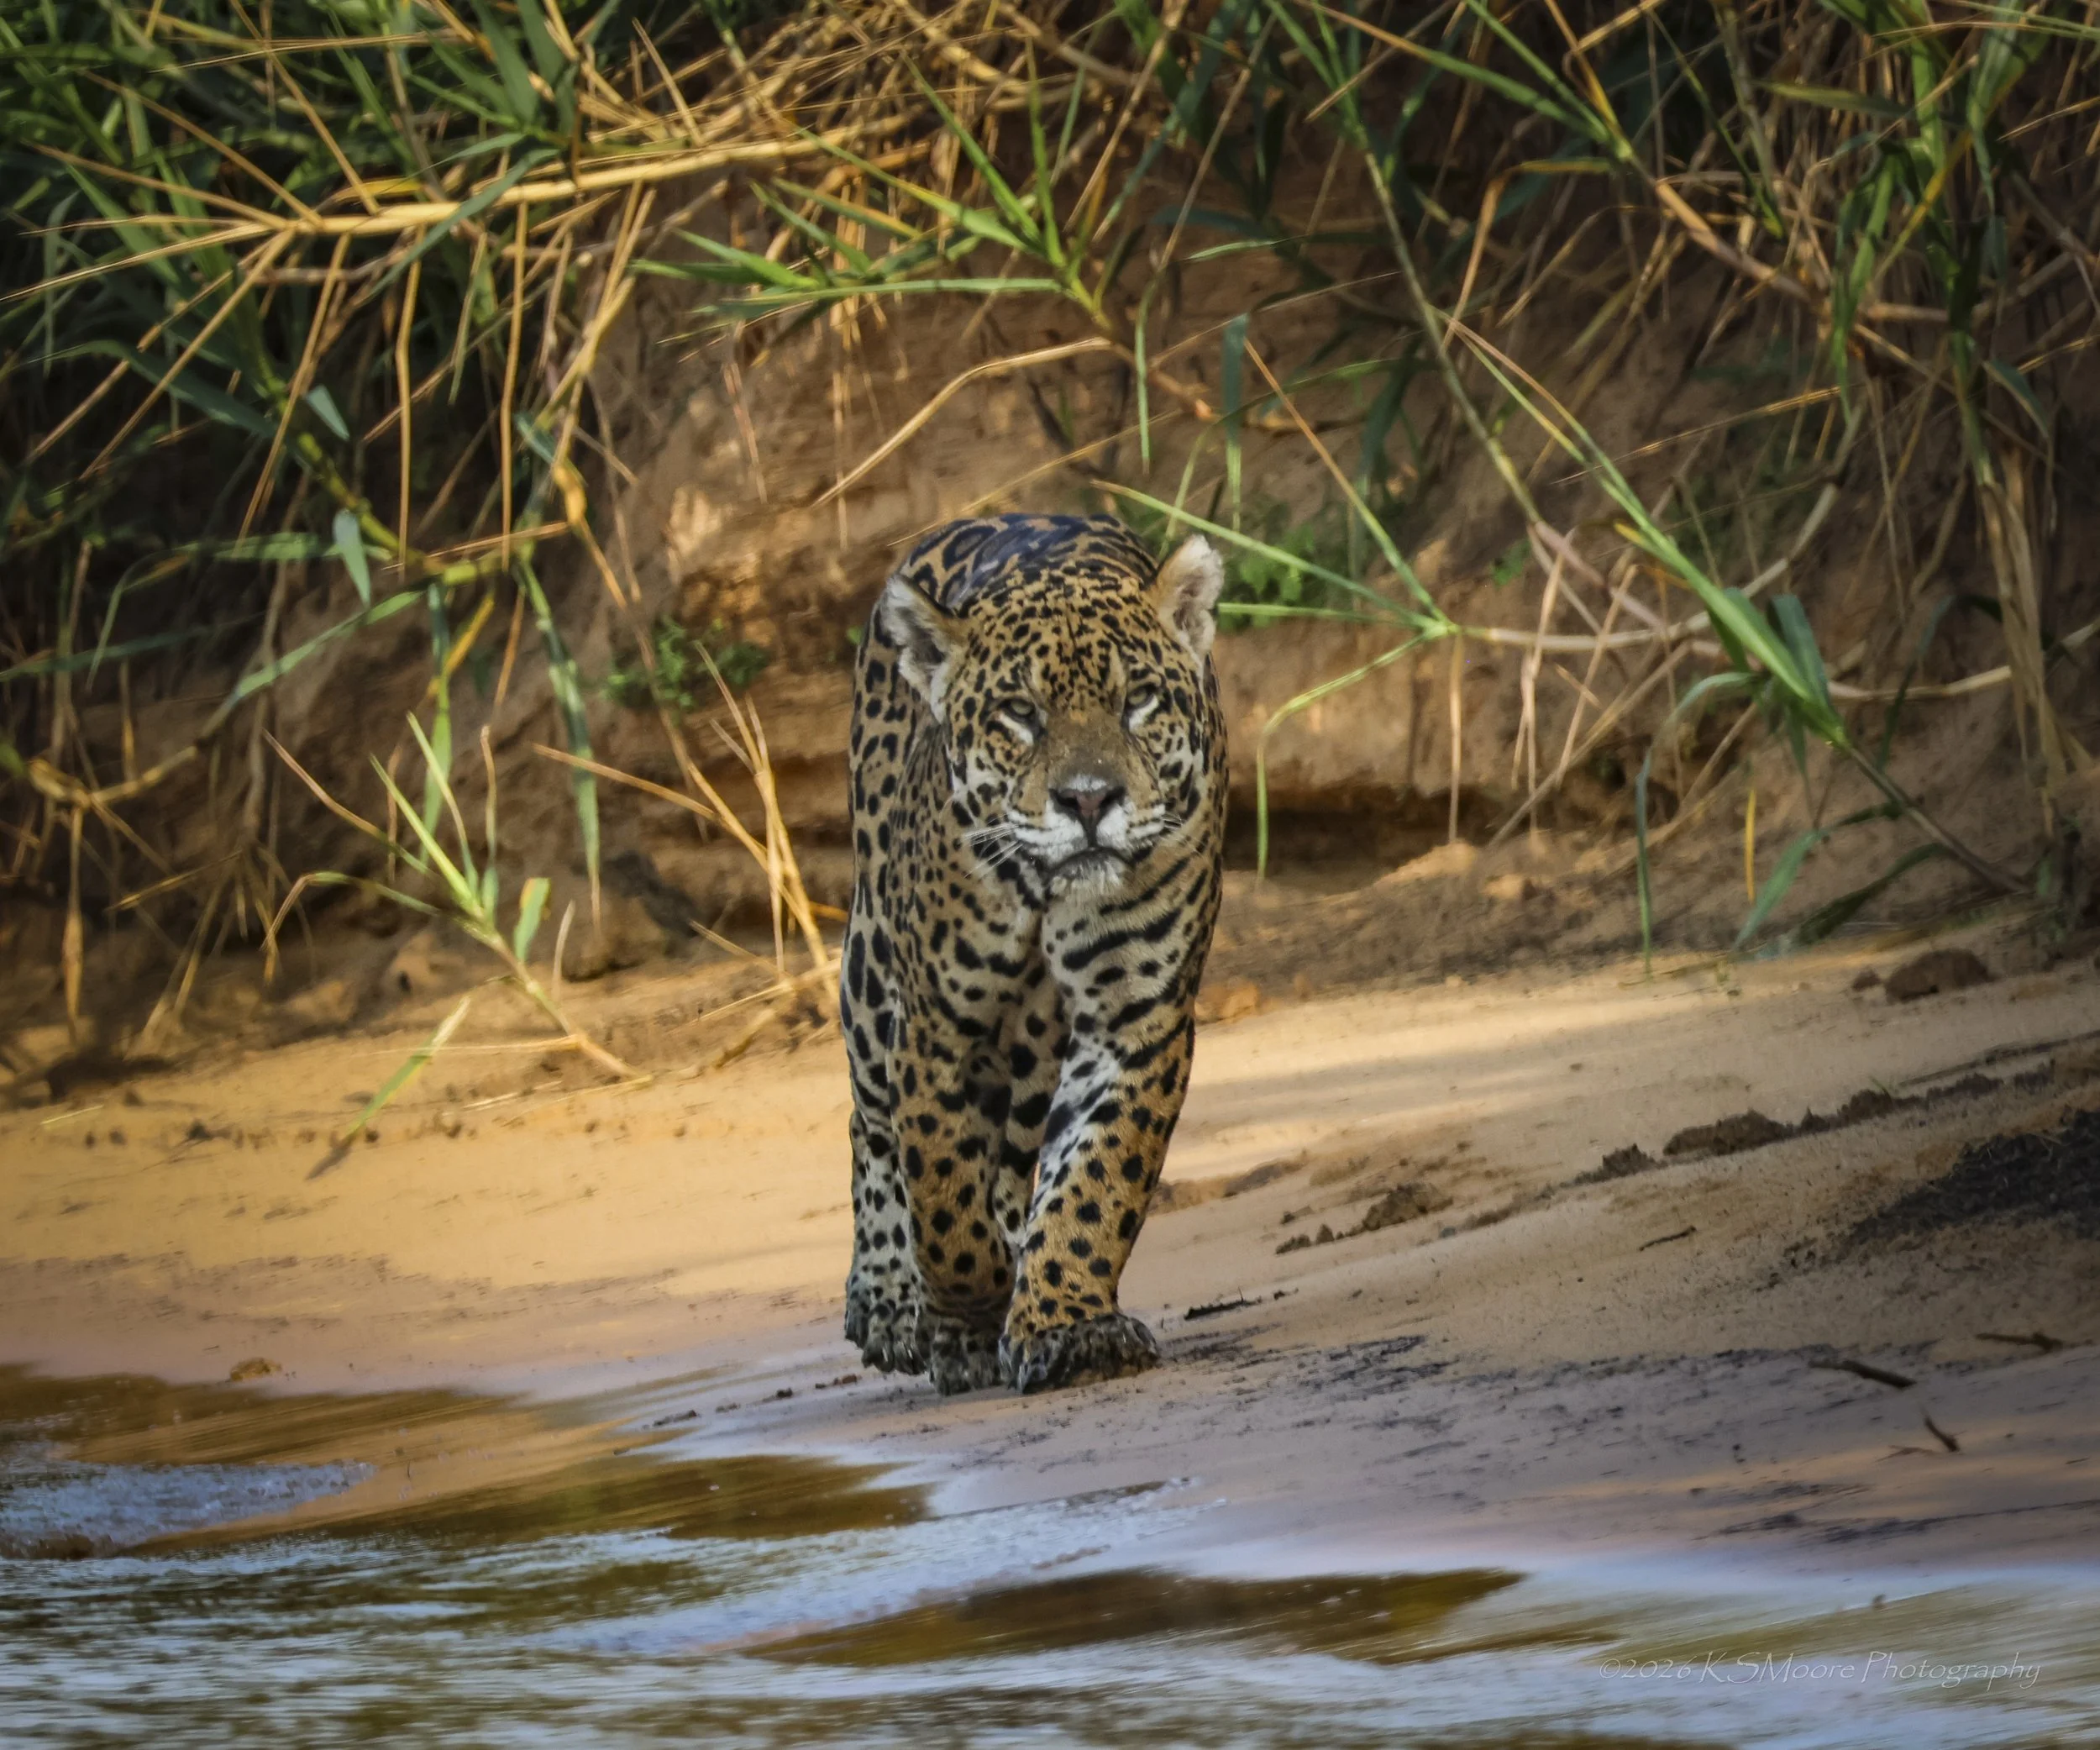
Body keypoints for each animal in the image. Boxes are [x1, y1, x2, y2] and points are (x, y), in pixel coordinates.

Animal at [837, 512, 1228, 1396]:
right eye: (1020, 712)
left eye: (1138, 700)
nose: (1088, 799)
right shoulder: (936, 1026)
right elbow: (942, 1194)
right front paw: (970, 1312)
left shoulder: (1135, 1020)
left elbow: (1095, 1179)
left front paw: (1067, 1323)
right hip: (871, 970)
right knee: (868, 1120)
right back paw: (887, 1300)